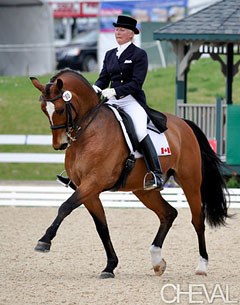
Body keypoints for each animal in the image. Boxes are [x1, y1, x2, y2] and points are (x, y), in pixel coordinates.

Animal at [30, 69, 229, 278]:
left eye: (60, 109)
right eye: (44, 109)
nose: (59, 144)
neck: (88, 131)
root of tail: (183, 123)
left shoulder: (93, 183)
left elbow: (65, 207)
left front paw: (44, 241)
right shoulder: (88, 190)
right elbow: (102, 227)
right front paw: (110, 266)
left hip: (190, 181)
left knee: (197, 219)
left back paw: (202, 266)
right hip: (143, 190)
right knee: (168, 213)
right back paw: (157, 261)